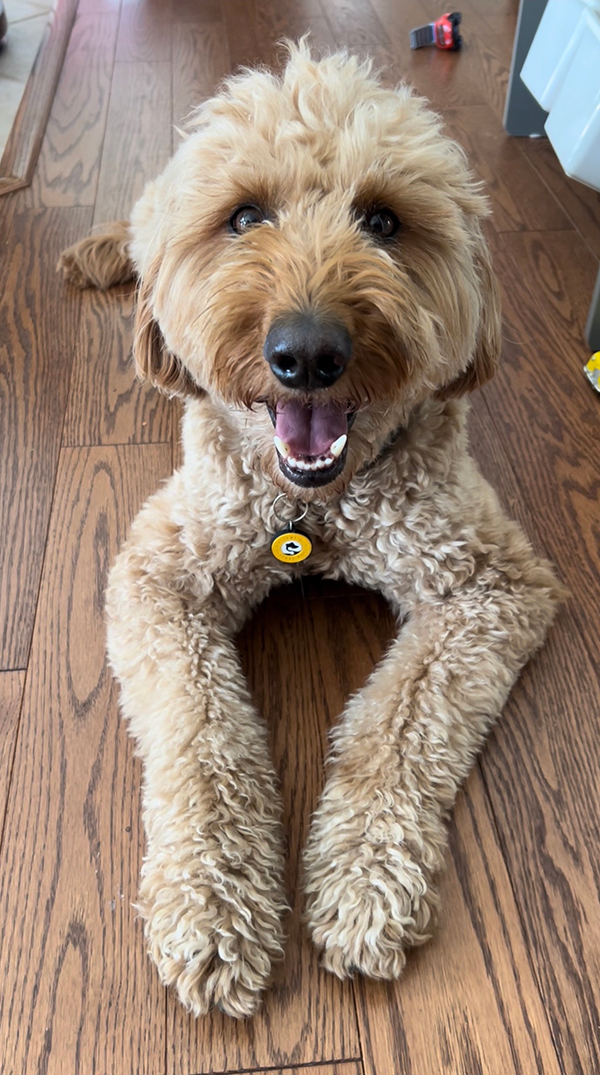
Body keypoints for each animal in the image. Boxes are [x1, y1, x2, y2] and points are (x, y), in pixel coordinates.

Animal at [59, 41, 563, 1014]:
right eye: (245, 216)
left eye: (384, 220)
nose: (307, 352)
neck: (317, 506)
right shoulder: (159, 575)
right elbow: (201, 731)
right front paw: (212, 905)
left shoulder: (491, 582)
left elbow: (398, 728)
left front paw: (365, 882)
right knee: (137, 224)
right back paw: (98, 253)